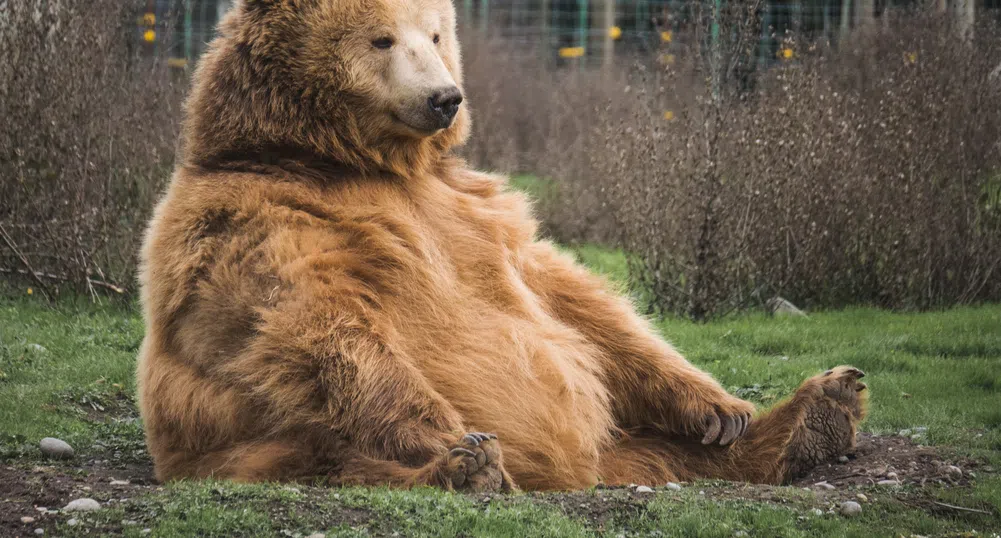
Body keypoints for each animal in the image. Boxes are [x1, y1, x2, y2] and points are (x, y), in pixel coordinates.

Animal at [139, 0, 868, 490]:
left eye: (435, 33)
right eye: (381, 38)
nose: (445, 97)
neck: (345, 160)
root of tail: (580, 471)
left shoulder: (474, 212)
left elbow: (575, 300)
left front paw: (720, 408)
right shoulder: (259, 220)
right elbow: (316, 325)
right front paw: (453, 438)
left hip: (623, 438)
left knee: (667, 448)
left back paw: (816, 414)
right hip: (250, 441)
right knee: (335, 455)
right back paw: (465, 468)